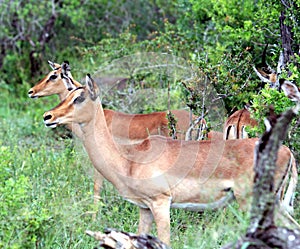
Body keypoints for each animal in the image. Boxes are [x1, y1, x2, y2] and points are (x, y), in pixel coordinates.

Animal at [42, 73, 298, 244]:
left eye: (79, 98)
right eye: (68, 94)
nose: (48, 116)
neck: (130, 160)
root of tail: (287, 152)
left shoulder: (161, 203)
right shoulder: (144, 209)